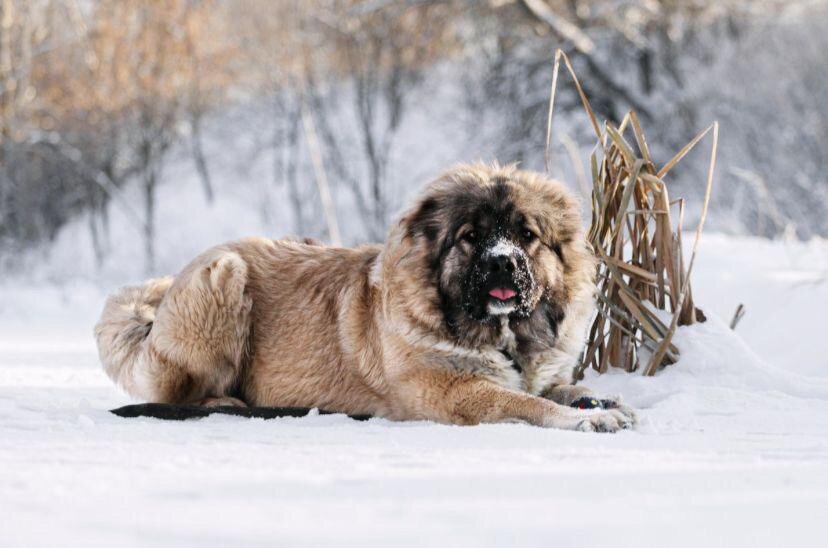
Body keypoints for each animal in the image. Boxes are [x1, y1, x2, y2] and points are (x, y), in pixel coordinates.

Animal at [98, 163, 640, 432]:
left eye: (526, 235)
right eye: (470, 236)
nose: (502, 262)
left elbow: (554, 389)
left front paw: (604, 400)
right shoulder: (453, 391)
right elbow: (527, 403)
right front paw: (591, 418)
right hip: (223, 275)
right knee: (180, 394)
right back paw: (228, 403)